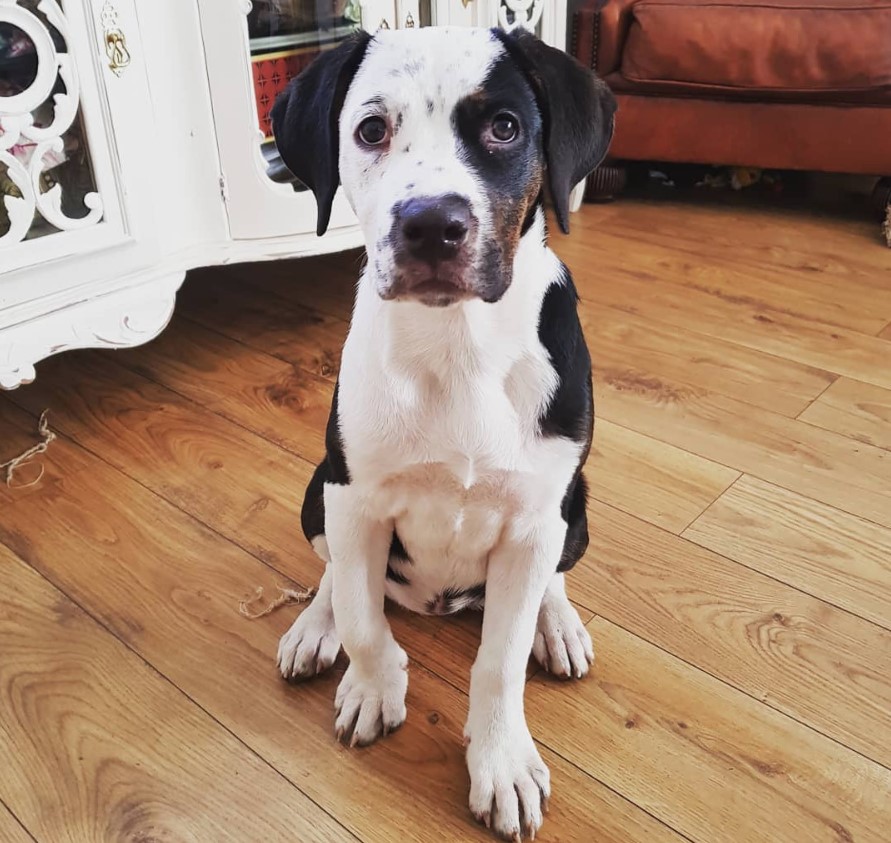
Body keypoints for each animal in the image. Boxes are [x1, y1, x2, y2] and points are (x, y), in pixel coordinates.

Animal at [276, 23, 616, 840]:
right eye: (371, 130)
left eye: (505, 127)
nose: (431, 225)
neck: (457, 344)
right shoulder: (355, 495)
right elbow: (364, 616)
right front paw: (374, 686)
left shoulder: (535, 517)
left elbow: (499, 658)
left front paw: (502, 761)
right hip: (316, 488)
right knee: (336, 571)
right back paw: (313, 625)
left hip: (577, 507)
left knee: (552, 574)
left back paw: (558, 625)